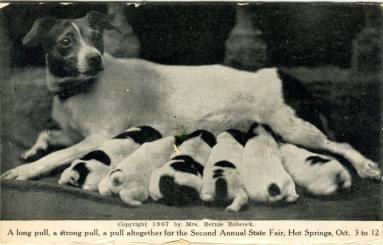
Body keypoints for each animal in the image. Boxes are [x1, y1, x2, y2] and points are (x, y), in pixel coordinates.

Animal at [1, 11, 382, 180]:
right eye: (66, 41)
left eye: (97, 38)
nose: (95, 59)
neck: (76, 90)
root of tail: (282, 74)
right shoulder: (72, 133)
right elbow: (48, 134)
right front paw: (33, 149)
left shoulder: (96, 138)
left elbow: (55, 154)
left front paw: (26, 170)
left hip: (294, 127)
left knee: (340, 145)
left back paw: (365, 166)